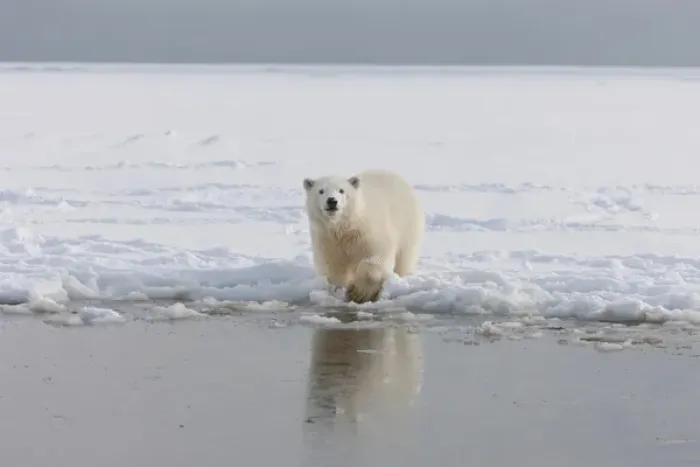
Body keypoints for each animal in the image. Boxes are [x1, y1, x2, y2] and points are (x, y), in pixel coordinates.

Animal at [302, 169, 425, 304]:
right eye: (321, 191)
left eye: (341, 190)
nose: (332, 201)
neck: (343, 227)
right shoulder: (327, 238)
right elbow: (333, 265)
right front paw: (339, 290)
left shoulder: (366, 233)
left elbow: (376, 256)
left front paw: (359, 293)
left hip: (407, 223)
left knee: (405, 255)